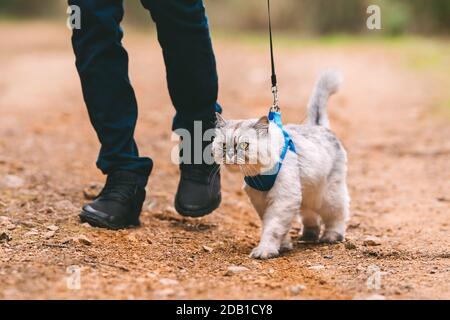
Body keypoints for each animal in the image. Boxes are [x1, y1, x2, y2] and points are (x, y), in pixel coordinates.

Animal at [213, 70, 350, 260]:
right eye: (224, 146)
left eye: (244, 145)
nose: (230, 156)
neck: (259, 174)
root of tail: (318, 126)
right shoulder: (262, 201)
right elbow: (275, 227)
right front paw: (284, 246)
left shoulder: (282, 200)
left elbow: (273, 229)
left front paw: (265, 250)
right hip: (307, 195)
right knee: (310, 217)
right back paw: (308, 235)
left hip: (327, 196)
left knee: (337, 215)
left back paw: (331, 236)